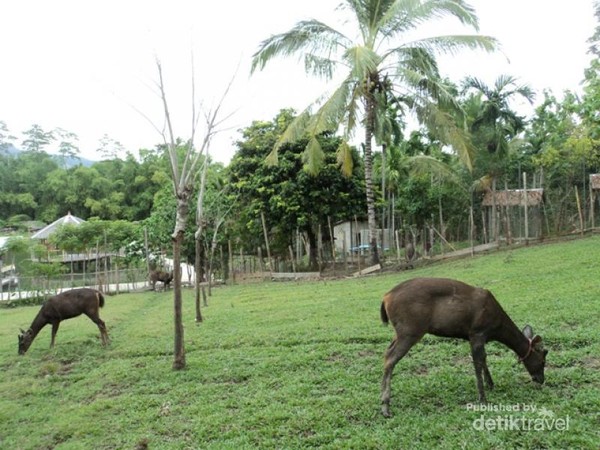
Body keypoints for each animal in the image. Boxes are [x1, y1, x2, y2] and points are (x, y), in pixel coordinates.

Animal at [380, 278, 548, 418]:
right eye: (543, 359)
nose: (541, 379)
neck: (496, 329)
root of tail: (385, 298)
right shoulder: (477, 332)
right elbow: (478, 363)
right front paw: (483, 399)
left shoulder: (477, 337)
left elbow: (484, 359)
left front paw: (491, 384)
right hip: (410, 329)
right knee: (390, 358)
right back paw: (385, 407)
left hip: (400, 332)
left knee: (387, 351)